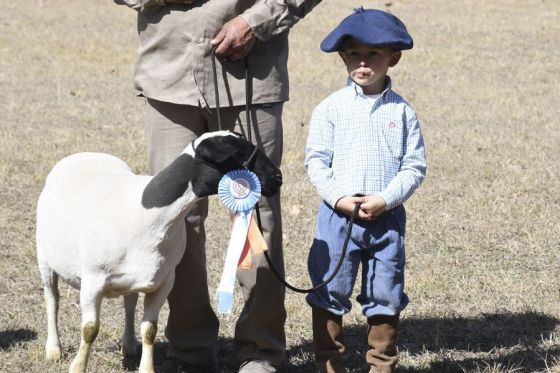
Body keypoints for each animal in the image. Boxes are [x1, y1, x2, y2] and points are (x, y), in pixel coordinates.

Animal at [35, 131, 282, 372]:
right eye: (237, 153)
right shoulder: (93, 280)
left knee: (129, 305)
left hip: (133, 277)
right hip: (44, 258)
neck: (147, 215)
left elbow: (149, 330)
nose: (278, 177)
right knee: (52, 299)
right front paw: (77, 367)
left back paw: (129, 347)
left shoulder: (164, 281)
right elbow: (90, 329)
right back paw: (53, 349)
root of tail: (84, 154)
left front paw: (146, 367)